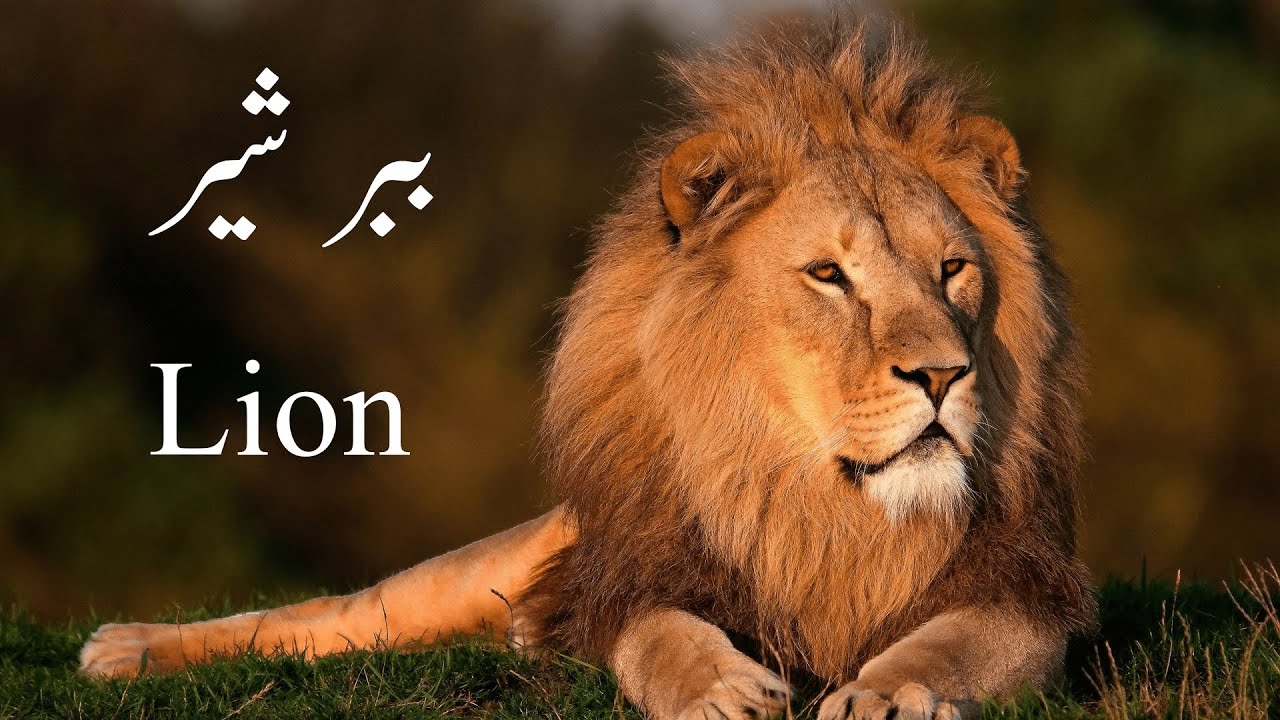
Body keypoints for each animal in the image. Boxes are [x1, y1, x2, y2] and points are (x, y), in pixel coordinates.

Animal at [79, 17, 1095, 720]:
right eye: (828, 276)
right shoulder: (634, 581)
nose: (944, 376)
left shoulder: (1025, 593)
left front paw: (888, 692)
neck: (818, 506)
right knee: (336, 614)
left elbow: (952, 645)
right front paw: (720, 688)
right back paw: (123, 648)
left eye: (952, 269)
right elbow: (662, 637)